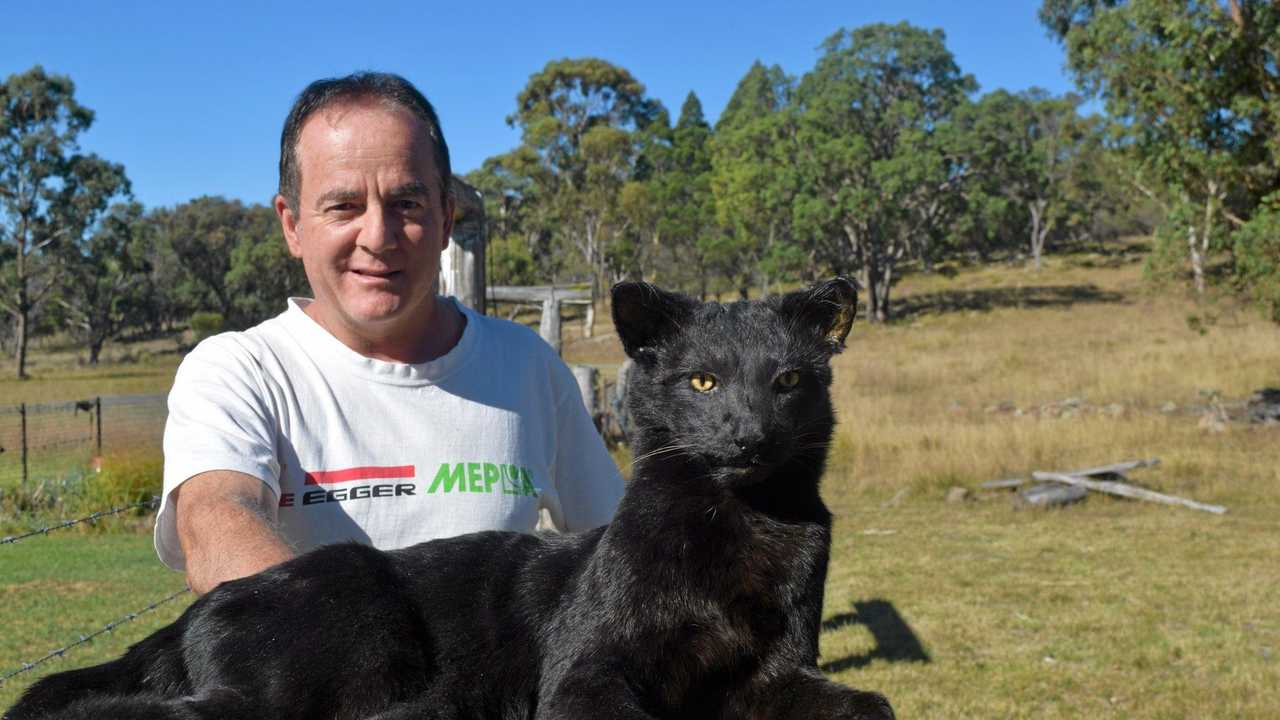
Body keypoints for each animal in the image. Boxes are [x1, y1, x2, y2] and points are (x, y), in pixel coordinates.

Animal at [5, 279, 890, 717]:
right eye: (703, 382)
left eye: (789, 382)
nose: (748, 437)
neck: (735, 527)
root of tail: (199, 609)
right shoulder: (583, 674)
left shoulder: (773, 676)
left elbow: (872, 704)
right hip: (347, 633)